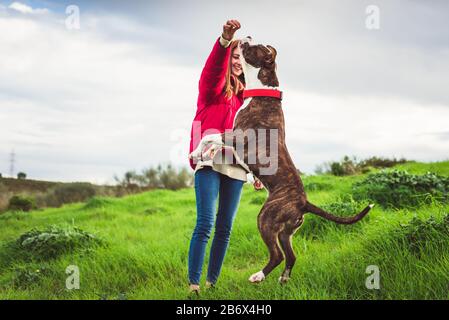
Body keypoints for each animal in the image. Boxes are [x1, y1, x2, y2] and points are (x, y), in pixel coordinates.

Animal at [188, 36, 372, 284]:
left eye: (257, 47)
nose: (247, 36)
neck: (263, 91)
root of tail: (303, 203)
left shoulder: (237, 137)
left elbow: (209, 135)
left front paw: (196, 153)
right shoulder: (234, 144)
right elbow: (213, 140)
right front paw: (202, 153)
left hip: (266, 218)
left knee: (277, 255)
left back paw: (258, 275)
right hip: (286, 231)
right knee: (291, 256)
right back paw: (283, 279)